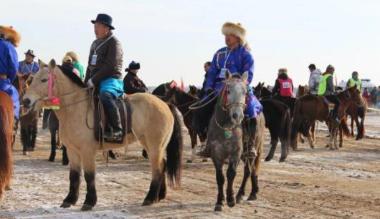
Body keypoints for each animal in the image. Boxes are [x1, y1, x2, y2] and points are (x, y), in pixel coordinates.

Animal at [22, 59, 184, 210]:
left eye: (44, 80)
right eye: (32, 79)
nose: (25, 101)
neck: (75, 108)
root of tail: (165, 104)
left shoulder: (87, 151)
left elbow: (89, 176)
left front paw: (89, 202)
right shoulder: (72, 151)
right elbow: (73, 176)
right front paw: (69, 200)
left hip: (154, 145)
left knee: (157, 169)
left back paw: (150, 198)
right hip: (154, 146)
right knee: (162, 165)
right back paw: (159, 196)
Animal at [206, 72, 266, 211]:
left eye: (245, 92)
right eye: (228, 90)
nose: (237, 115)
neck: (226, 127)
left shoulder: (236, 152)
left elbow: (231, 174)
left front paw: (230, 199)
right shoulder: (216, 154)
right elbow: (220, 177)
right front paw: (219, 202)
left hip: (252, 150)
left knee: (248, 170)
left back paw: (241, 194)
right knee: (252, 170)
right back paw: (253, 192)